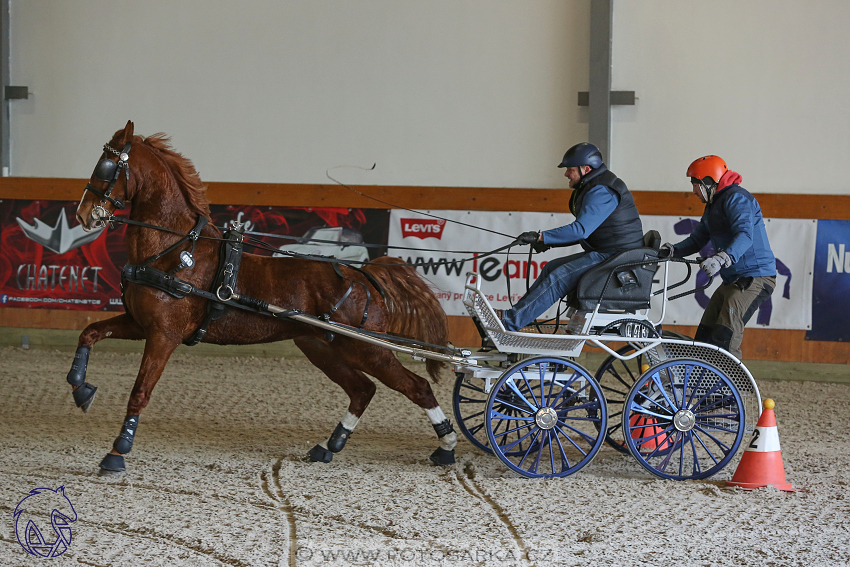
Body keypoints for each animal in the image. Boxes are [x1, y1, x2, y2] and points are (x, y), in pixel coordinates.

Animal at [71, 123, 458, 474]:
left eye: (106, 165)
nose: (83, 214)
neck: (175, 250)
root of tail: (363, 275)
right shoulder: (140, 323)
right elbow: (89, 333)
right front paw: (80, 388)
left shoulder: (164, 335)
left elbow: (140, 391)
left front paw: (118, 451)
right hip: (321, 347)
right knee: (363, 389)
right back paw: (327, 447)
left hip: (367, 348)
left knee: (416, 386)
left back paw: (447, 446)